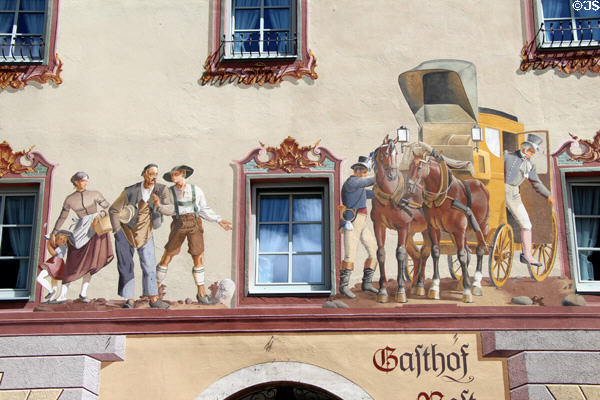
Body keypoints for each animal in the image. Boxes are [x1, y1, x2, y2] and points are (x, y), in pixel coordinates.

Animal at [370, 135, 432, 304]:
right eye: (385, 153)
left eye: (396, 153)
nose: (392, 175)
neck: (390, 194)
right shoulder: (379, 225)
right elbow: (381, 253)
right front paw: (382, 291)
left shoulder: (403, 227)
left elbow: (400, 253)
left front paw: (401, 291)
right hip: (413, 232)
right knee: (417, 255)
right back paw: (416, 285)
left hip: (427, 230)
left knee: (425, 252)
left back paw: (420, 285)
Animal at [406, 142, 490, 302]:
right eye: (409, 167)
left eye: (419, 167)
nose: (409, 186)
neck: (444, 196)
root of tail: (481, 185)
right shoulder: (434, 228)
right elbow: (436, 252)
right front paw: (434, 287)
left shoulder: (459, 230)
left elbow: (462, 255)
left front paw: (467, 292)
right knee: (469, 251)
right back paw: (462, 283)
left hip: (481, 226)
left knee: (480, 249)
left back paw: (475, 284)